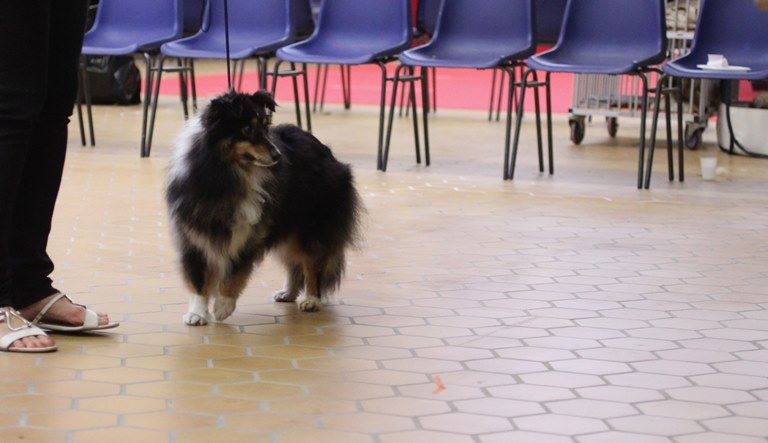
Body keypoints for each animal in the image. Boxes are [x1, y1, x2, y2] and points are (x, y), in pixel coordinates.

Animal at [166, 91, 364, 326]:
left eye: (264, 127)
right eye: (247, 130)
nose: (278, 155)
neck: (227, 177)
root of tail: (324, 148)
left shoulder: (249, 234)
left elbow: (236, 272)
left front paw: (223, 307)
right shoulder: (193, 235)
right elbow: (198, 279)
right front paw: (197, 313)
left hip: (310, 226)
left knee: (311, 262)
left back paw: (311, 299)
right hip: (287, 227)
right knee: (293, 263)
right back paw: (288, 293)